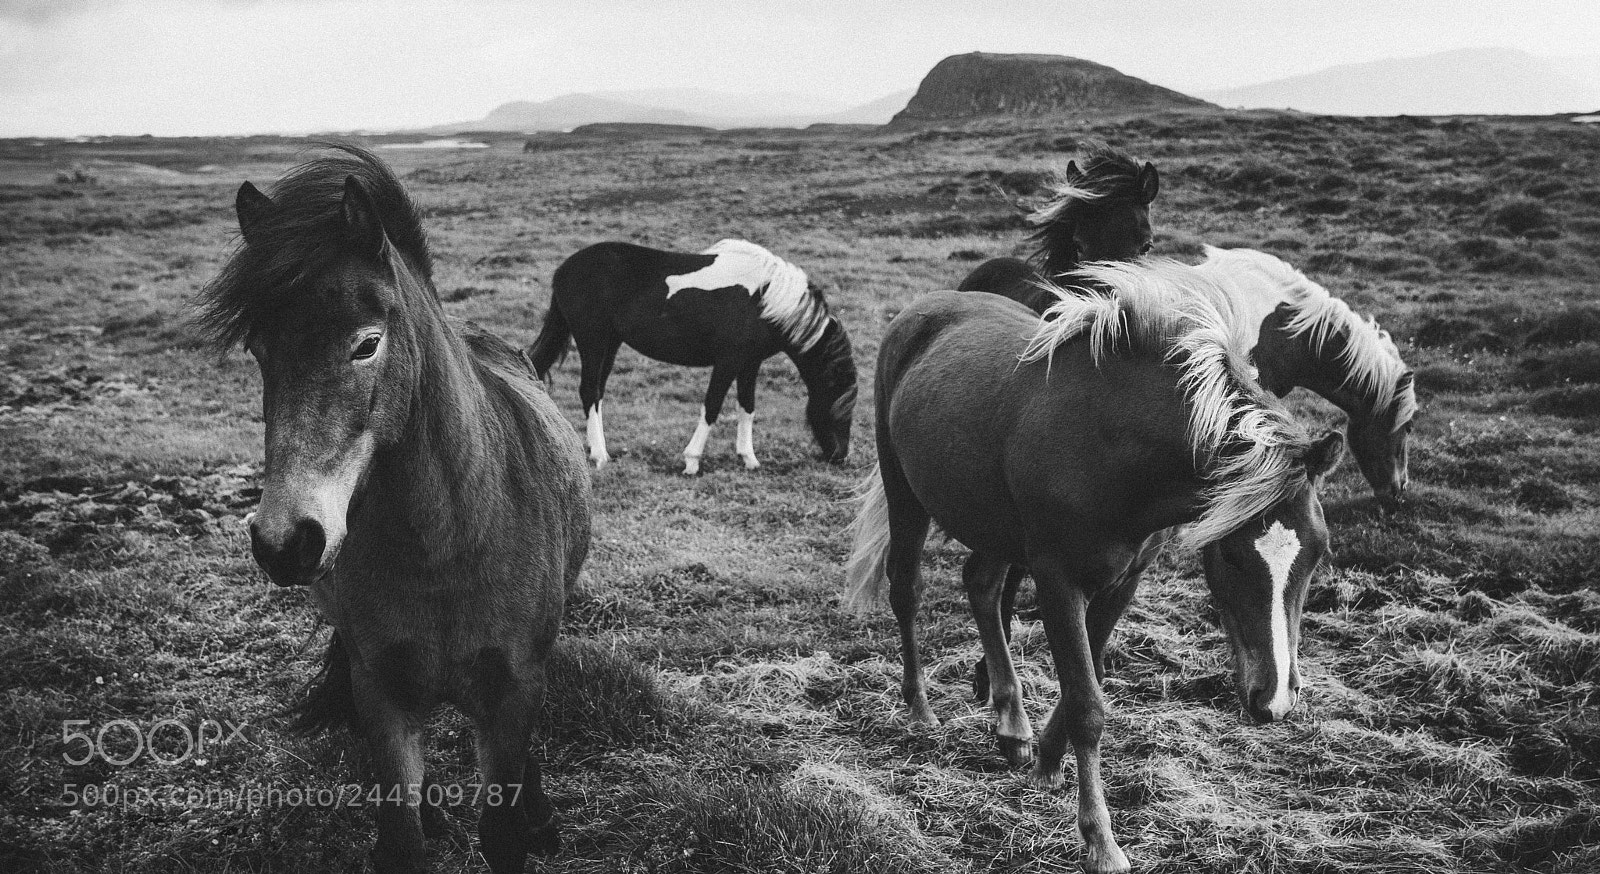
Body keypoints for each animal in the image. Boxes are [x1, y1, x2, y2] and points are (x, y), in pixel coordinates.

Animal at [195, 145, 592, 874]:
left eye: (366, 343)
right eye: (258, 350)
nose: (284, 540)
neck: (447, 545)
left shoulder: (512, 692)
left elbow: (504, 829)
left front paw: (530, 821)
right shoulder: (380, 692)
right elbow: (400, 835)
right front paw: (424, 821)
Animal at [528, 239, 858, 475]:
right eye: (838, 405)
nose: (840, 456)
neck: (765, 301)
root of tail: (564, 269)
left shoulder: (749, 364)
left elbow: (747, 406)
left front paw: (749, 458)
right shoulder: (727, 363)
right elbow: (711, 407)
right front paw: (692, 460)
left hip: (610, 343)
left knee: (597, 392)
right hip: (592, 340)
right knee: (588, 390)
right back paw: (599, 455)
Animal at [843, 264, 1344, 874]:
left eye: (1317, 551)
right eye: (1229, 552)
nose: (1273, 699)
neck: (1114, 444)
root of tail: (920, 313)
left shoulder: (1122, 581)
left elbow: (1085, 681)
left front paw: (1044, 759)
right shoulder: (1058, 579)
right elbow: (1087, 706)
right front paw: (1100, 842)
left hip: (997, 526)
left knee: (981, 586)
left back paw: (1012, 724)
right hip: (906, 494)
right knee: (907, 589)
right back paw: (919, 709)